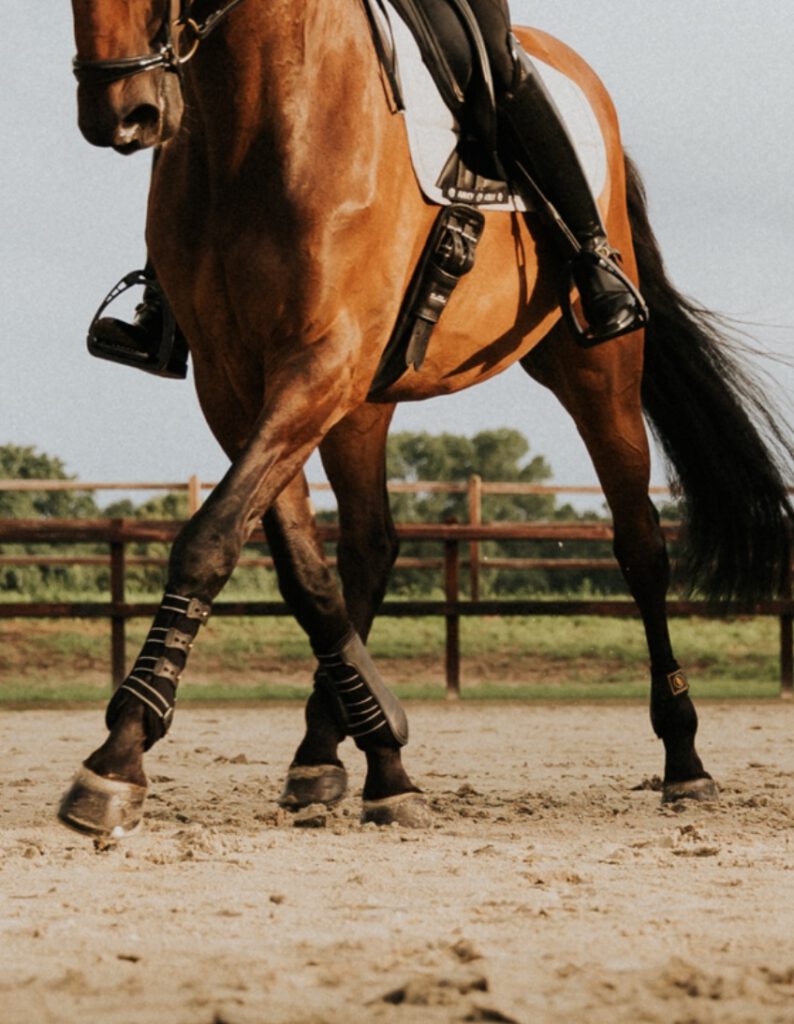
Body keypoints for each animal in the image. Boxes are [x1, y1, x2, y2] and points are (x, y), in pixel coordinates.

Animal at [63, 0, 794, 835]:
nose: (123, 114)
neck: (256, 116)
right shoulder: (237, 384)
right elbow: (302, 573)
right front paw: (381, 749)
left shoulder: (319, 362)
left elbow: (208, 541)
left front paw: (117, 755)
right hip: (362, 406)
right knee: (370, 551)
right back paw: (330, 756)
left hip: (596, 371)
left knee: (641, 549)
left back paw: (685, 761)